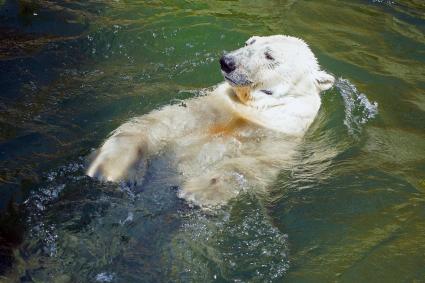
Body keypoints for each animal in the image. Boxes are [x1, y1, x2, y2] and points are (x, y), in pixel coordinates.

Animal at [86, 35, 332, 209]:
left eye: (270, 56)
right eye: (248, 42)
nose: (227, 61)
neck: (253, 111)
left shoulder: (282, 135)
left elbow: (253, 164)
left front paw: (198, 191)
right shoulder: (216, 106)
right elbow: (161, 123)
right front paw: (109, 167)